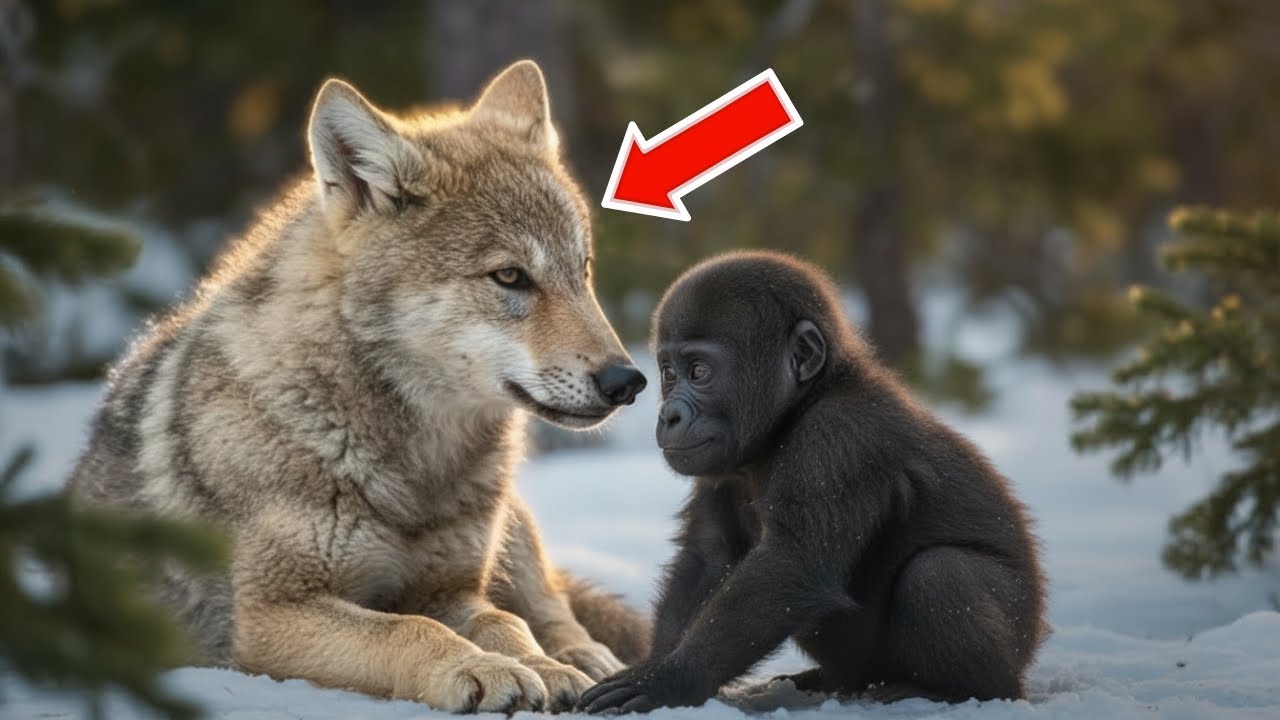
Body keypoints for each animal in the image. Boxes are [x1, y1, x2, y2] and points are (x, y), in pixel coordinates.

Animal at [69, 60, 651, 713]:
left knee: (556, 611)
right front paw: (481, 670)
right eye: (509, 276)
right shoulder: (274, 615)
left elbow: (505, 623)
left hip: (512, 529)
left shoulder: (450, 589)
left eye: (582, 272)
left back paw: (591, 665)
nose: (627, 381)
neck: (417, 470)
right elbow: (410, 631)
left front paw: (543, 668)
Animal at [579, 250, 1047, 713]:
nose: (668, 416)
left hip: (1014, 648)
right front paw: (657, 668)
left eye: (698, 371)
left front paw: (670, 680)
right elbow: (708, 556)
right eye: (669, 373)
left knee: (941, 574)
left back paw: (957, 691)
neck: (807, 399)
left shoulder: (839, 435)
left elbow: (791, 563)